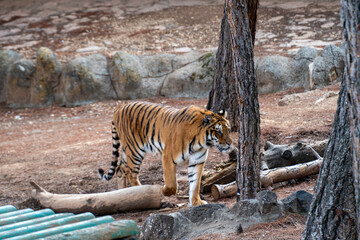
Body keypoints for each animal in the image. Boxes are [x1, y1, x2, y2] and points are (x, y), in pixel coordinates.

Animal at [98, 101, 233, 206]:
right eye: (219, 132)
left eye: (229, 129)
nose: (230, 143)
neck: (200, 142)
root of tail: (119, 108)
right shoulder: (168, 156)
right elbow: (171, 185)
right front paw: (162, 191)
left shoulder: (197, 161)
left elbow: (195, 184)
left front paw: (196, 202)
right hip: (134, 151)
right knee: (131, 174)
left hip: (128, 150)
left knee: (120, 169)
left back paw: (122, 195)